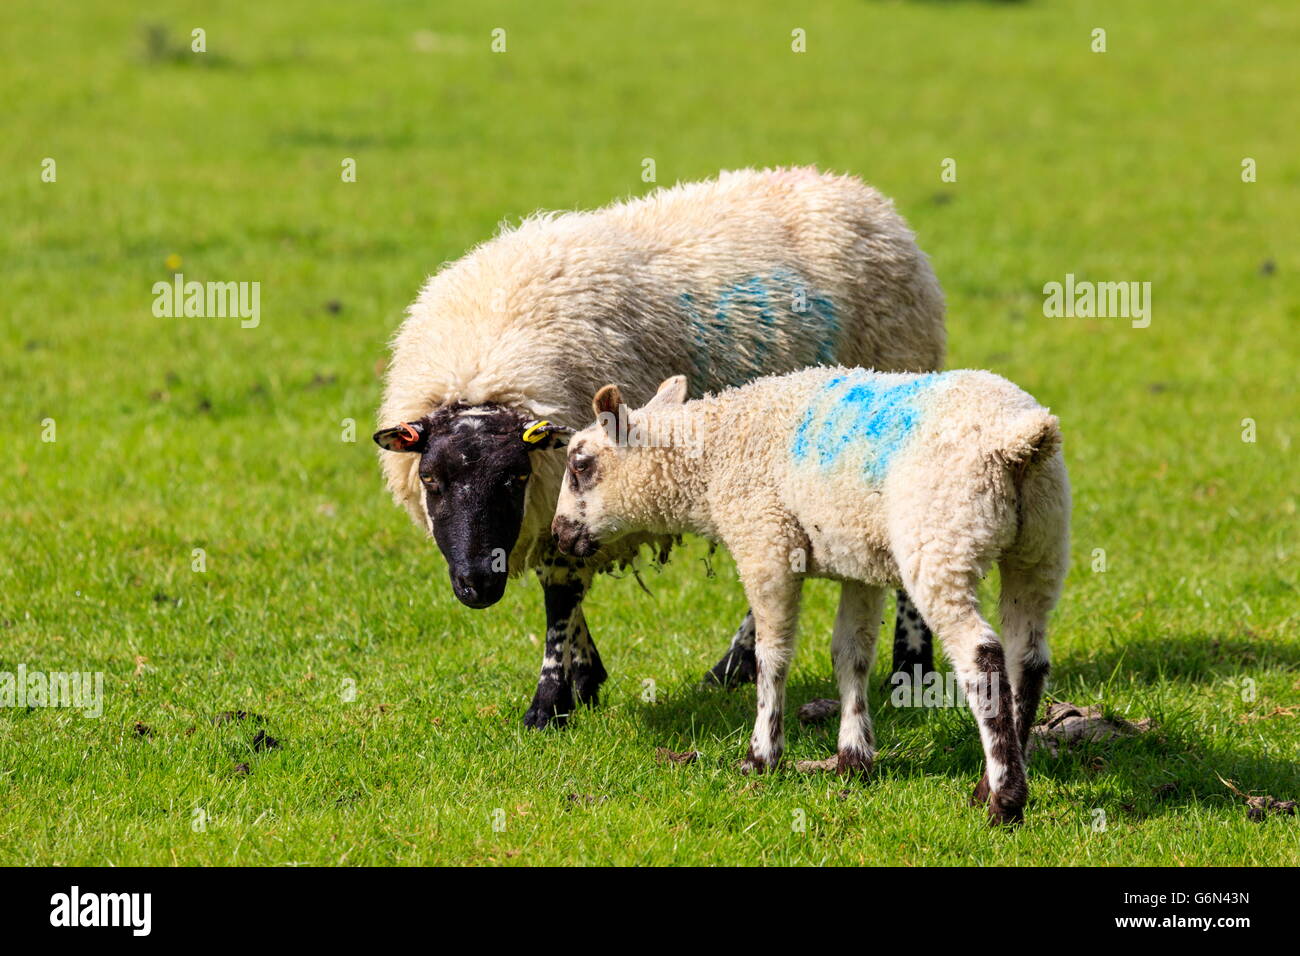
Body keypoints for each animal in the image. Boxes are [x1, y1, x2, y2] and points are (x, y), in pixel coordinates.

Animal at [373, 167, 946, 729]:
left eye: (513, 477)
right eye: (430, 480)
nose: (476, 586)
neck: (484, 362)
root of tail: (857, 193)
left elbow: (560, 594)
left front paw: (549, 703)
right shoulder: (561, 500)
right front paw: (587, 678)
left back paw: (910, 664)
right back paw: (735, 667)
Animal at [551, 369, 1071, 824]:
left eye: (580, 466)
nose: (559, 535)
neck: (710, 459)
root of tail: (1019, 440)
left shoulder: (766, 544)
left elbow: (772, 657)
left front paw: (761, 757)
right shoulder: (861, 564)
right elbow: (851, 656)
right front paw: (853, 759)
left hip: (943, 539)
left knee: (982, 656)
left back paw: (1004, 801)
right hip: (1041, 545)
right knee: (1028, 659)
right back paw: (993, 781)